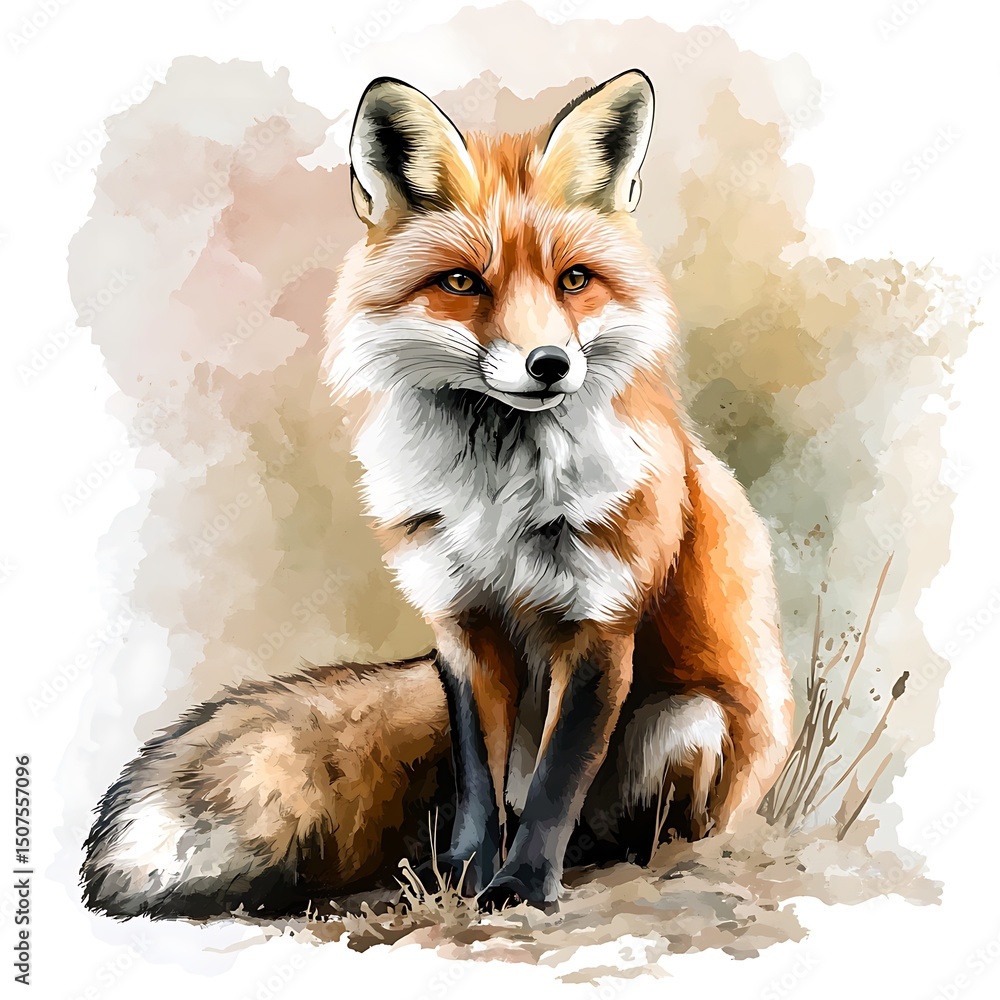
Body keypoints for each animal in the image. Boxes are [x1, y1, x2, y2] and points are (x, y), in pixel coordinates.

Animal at [81, 70, 793, 919]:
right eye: (462, 281)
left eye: (574, 281)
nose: (550, 364)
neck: (501, 498)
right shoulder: (462, 623)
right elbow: (479, 781)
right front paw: (465, 871)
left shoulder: (599, 627)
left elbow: (555, 785)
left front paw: (521, 883)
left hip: (690, 722)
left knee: (631, 825)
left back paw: (598, 859)